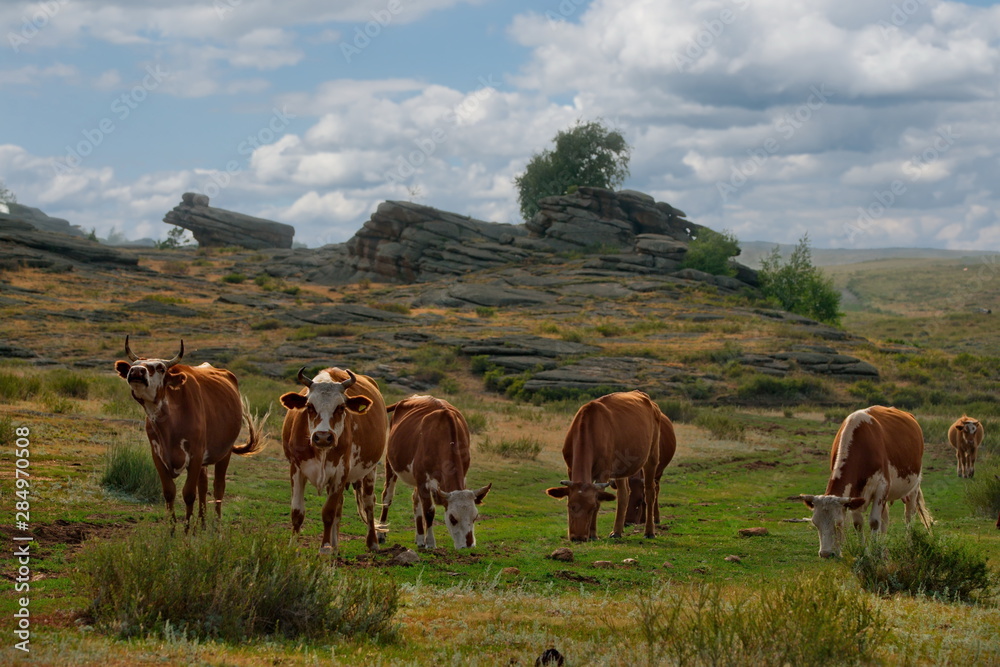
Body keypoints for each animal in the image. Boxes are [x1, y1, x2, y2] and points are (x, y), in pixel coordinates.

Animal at [114, 340, 266, 528]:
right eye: (134, 364)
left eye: (160, 368)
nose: (136, 371)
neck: (170, 422)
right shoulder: (158, 455)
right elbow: (170, 492)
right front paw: (172, 529)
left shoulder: (195, 455)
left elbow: (188, 494)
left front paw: (186, 530)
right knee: (203, 485)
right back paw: (201, 524)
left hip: (225, 452)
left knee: (218, 487)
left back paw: (215, 525)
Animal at [284, 368, 392, 556]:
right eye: (310, 406)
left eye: (341, 407)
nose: (323, 437)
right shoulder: (296, 469)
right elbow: (297, 512)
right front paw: (293, 547)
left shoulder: (340, 473)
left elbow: (328, 512)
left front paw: (324, 548)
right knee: (340, 507)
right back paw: (335, 546)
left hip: (370, 469)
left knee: (369, 503)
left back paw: (372, 542)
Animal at [378, 396, 492, 548]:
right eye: (452, 518)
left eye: (475, 516)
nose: (468, 545)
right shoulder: (422, 479)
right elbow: (429, 511)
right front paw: (431, 543)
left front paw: (425, 540)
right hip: (390, 463)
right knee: (387, 496)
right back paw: (381, 534)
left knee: (415, 499)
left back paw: (420, 538)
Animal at [544, 392, 660, 544]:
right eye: (570, 506)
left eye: (592, 508)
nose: (578, 537)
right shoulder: (570, 468)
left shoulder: (603, 472)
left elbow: (599, 500)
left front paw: (593, 534)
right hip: (622, 468)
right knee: (624, 494)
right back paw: (617, 531)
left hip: (652, 456)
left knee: (649, 492)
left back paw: (649, 531)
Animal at [800, 408, 932, 560]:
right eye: (815, 523)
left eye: (839, 523)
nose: (826, 554)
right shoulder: (855, 493)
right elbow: (858, 523)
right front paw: (864, 550)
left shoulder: (882, 487)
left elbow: (874, 522)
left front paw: (873, 551)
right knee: (885, 519)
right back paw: (883, 548)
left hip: (913, 487)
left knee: (909, 516)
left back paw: (909, 545)